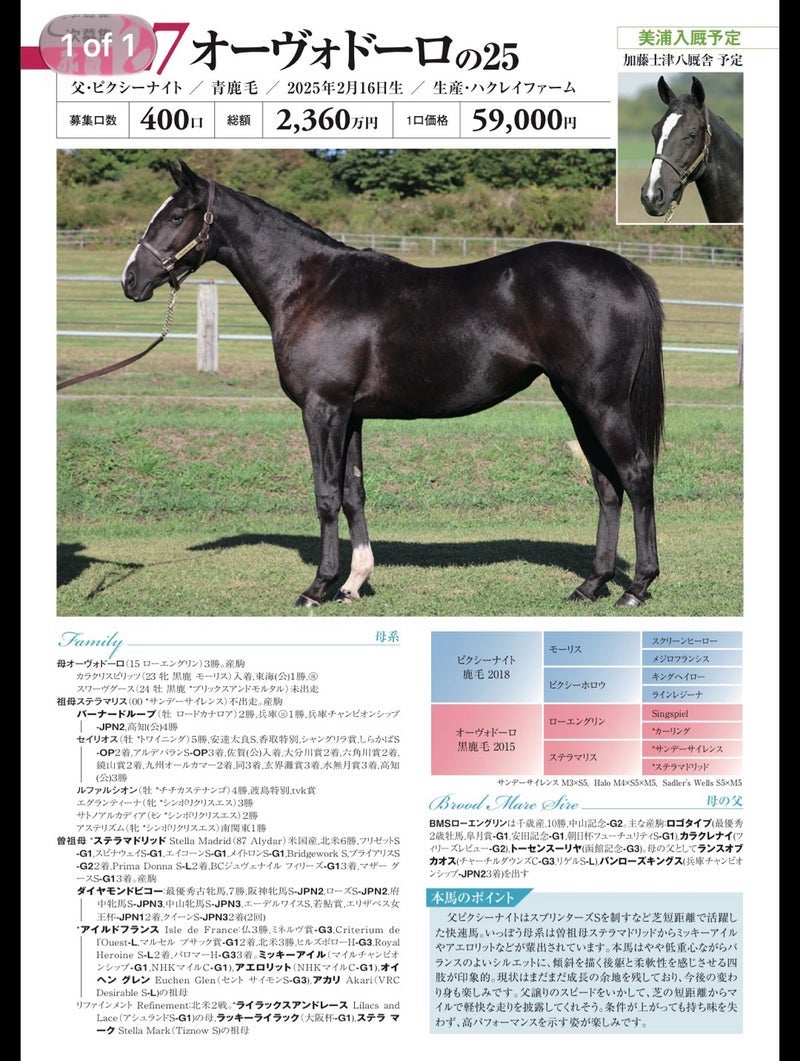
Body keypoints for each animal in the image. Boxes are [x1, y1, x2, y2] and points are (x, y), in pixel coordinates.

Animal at [122, 160, 665, 609]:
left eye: (176, 215)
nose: (130, 280)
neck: (311, 287)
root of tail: (626, 269)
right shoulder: (351, 414)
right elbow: (353, 494)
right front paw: (353, 583)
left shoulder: (323, 409)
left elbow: (326, 495)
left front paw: (317, 587)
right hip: (577, 402)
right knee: (606, 485)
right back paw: (591, 585)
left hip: (602, 403)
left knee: (636, 475)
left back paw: (637, 586)